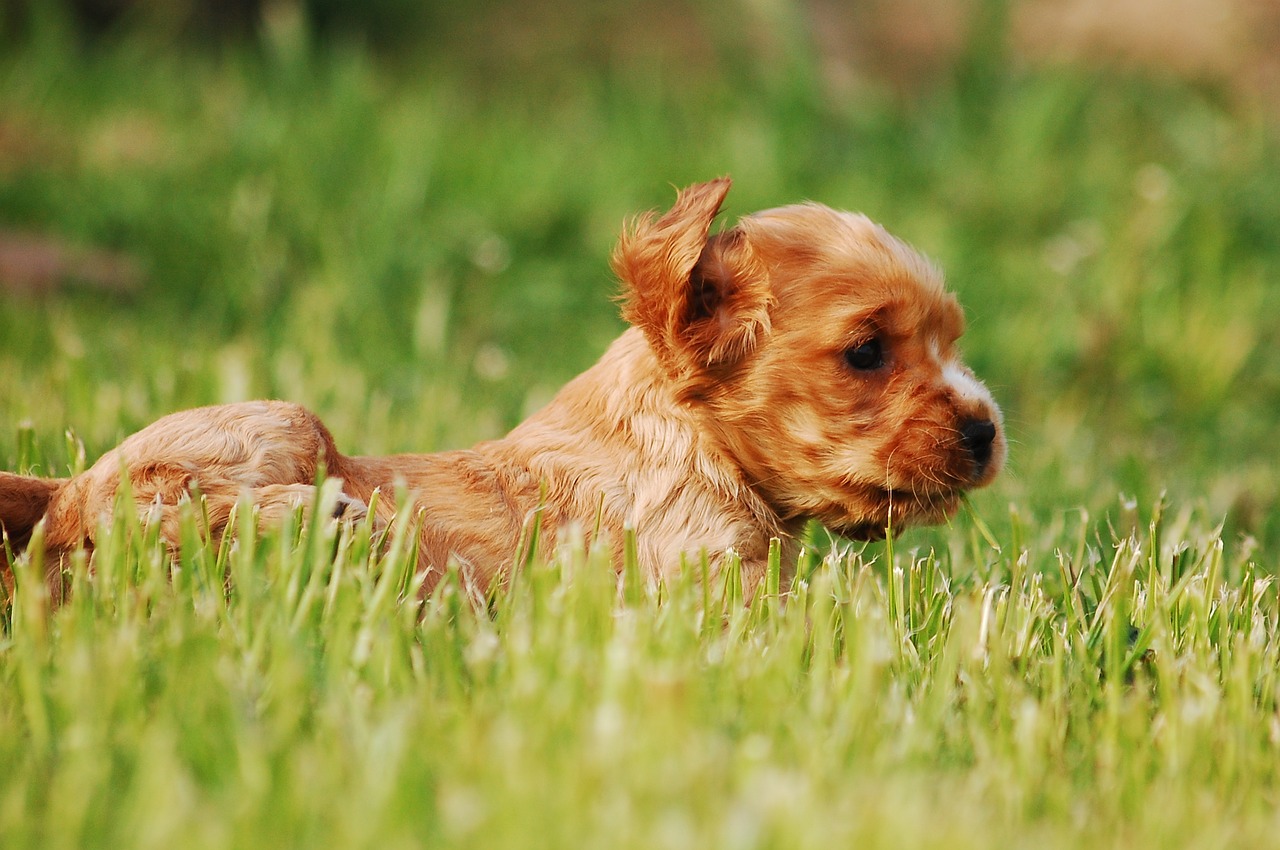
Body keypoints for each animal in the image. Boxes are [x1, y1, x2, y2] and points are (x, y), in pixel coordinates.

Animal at [0, 175, 998, 593]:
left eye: (951, 338)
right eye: (866, 352)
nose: (989, 432)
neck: (687, 446)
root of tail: (60, 485)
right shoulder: (709, 590)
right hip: (282, 421)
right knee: (124, 519)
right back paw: (307, 517)